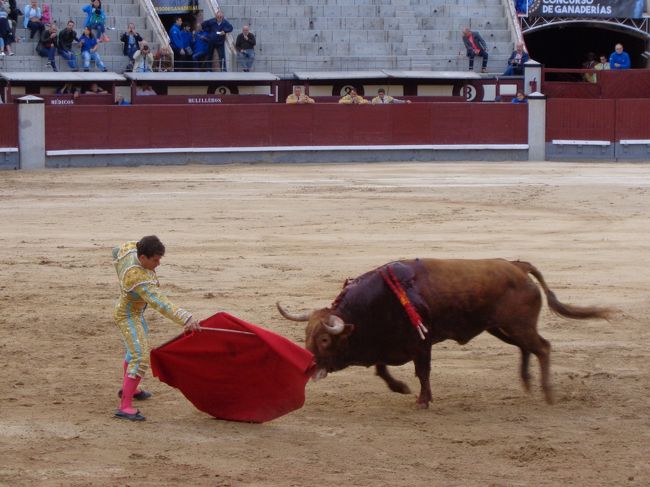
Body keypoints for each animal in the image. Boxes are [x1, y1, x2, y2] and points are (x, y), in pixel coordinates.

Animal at [276, 260, 612, 408]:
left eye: (324, 340)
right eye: (305, 336)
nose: (309, 365)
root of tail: (517, 265)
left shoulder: (421, 344)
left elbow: (423, 372)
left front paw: (423, 400)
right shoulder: (385, 346)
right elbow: (382, 370)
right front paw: (400, 388)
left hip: (518, 325)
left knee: (542, 347)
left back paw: (547, 393)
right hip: (501, 328)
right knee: (526, 348)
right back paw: (527, 383)